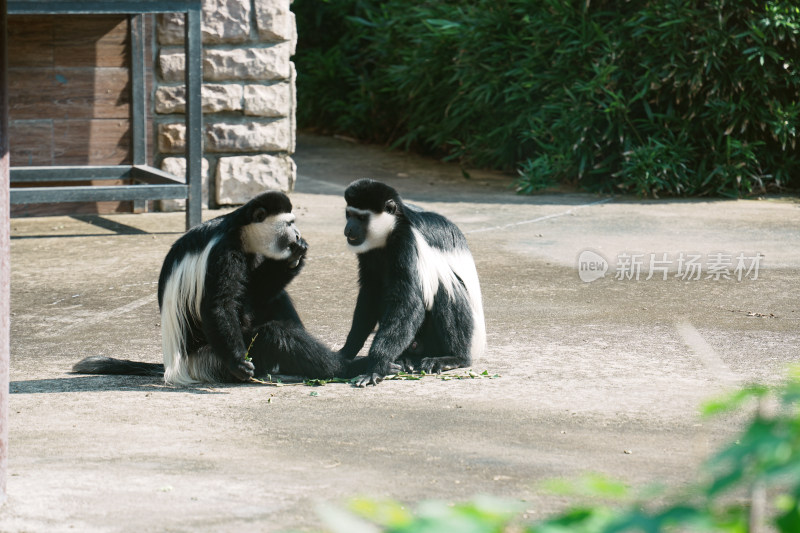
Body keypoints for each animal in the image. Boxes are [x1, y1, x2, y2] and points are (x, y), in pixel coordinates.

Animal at [73, 191, 352, 382]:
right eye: (289, 223)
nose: (297, 235)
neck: (239, 231)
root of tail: (179, 363)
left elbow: (259, 291)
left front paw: (294, 257)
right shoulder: (224, 253)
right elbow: (220, 304)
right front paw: (238, 362)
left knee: (275, 298)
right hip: (212, 360)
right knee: (274, 335)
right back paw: (345, 366)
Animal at [340, 179, 484, 386]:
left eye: (361, 218)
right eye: (349, 214)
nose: (348, 229)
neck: (391, 232)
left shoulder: (406, 243)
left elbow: (408, 302)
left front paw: (376, 367)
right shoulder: (368, 253)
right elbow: (370, 294)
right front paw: (345, 353)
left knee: (445, 289)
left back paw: (453, 358)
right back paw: (405, 360)